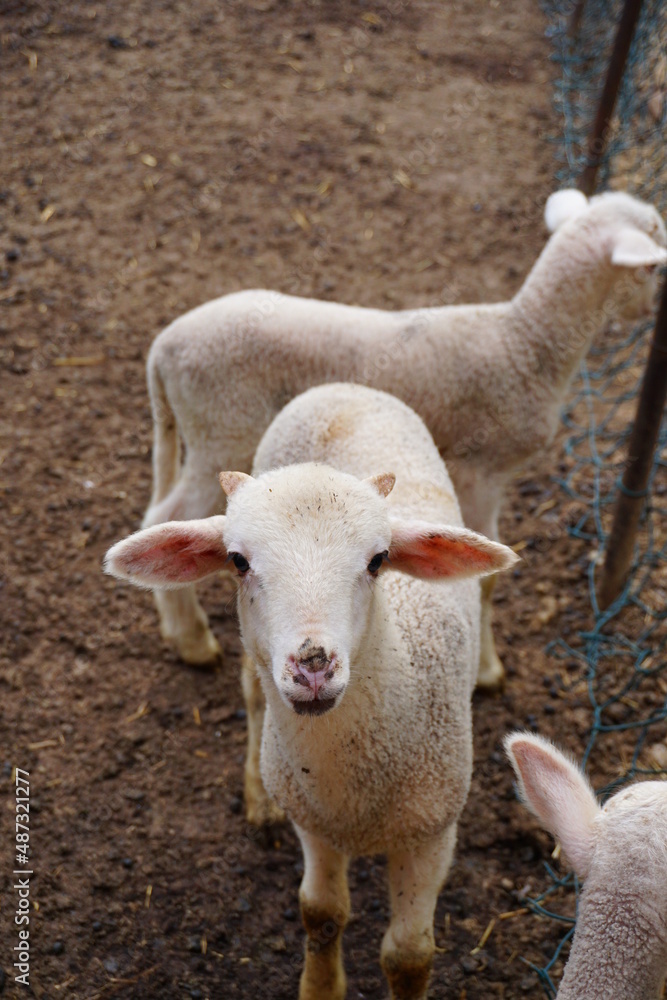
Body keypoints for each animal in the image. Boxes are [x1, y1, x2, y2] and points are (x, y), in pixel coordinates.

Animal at [106, 383, 518, 999]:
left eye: (378, 560)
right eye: (237, 560)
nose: (313, 667)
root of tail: (341, 388)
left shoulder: (433, 831)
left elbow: (409, 956)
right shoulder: (312, 818)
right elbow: (321, 914)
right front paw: (319, 985)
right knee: (253, 697)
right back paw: (258, 797)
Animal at [141, 188, 667, 687]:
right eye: (653, 261)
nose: (653, 307)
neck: (525, 341)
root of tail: (162, 348)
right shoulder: (479, 468)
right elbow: (486, 582)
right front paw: (487, 669)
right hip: (221, 428)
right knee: (167, 516)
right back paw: (191, 640)